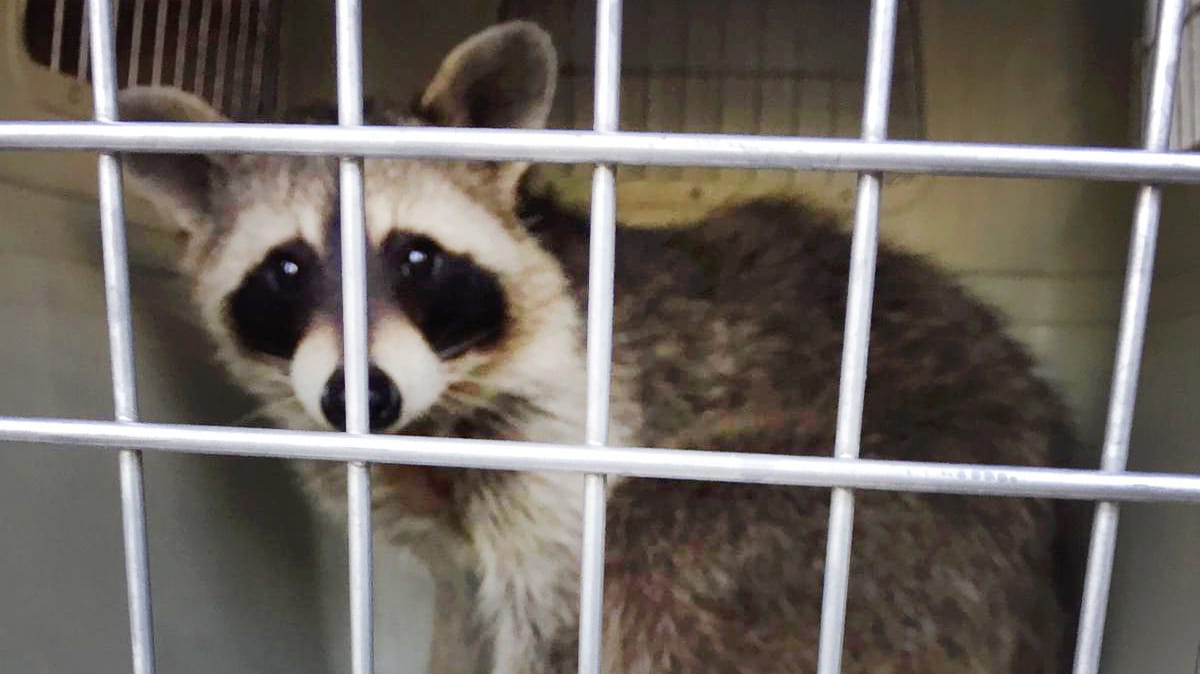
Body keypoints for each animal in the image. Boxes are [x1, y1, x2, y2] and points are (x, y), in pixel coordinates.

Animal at [119, 19, 1080, 671]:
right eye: (286, 270)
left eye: (416, 258)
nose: (362, 397)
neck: (426, 417)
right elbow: (462, 609)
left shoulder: (568, 425)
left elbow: (560, 614)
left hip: (871, 530)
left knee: (655, 557)